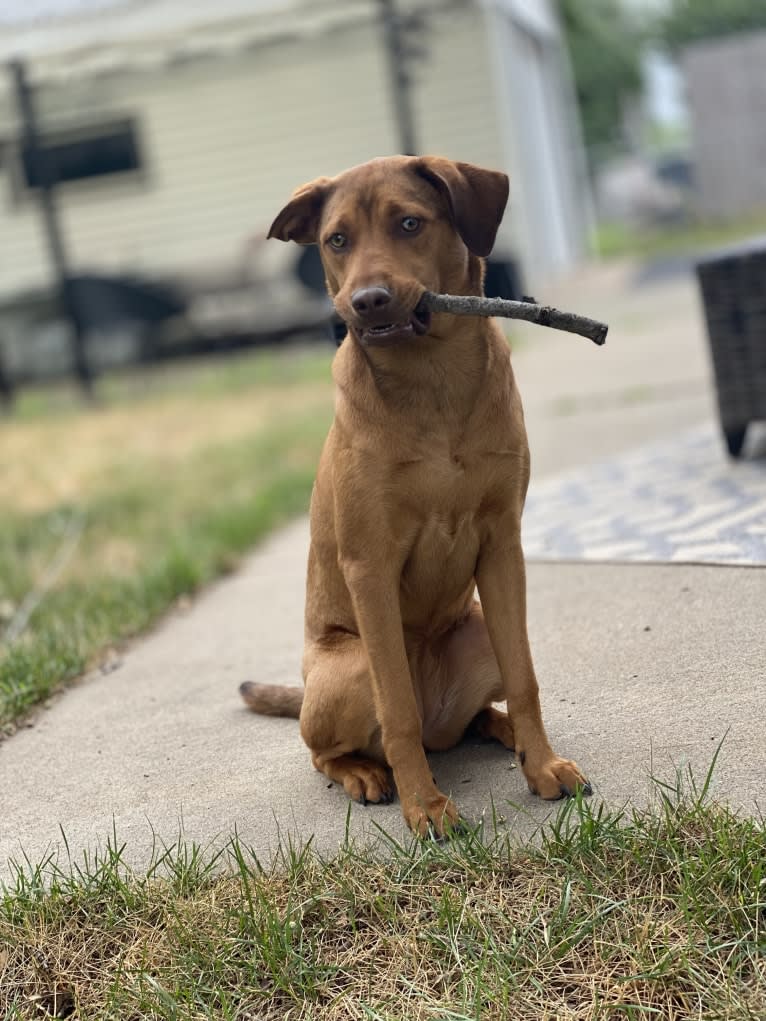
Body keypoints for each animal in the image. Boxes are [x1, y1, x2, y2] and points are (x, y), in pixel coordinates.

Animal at [243, 155, 592, 833]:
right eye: (337, 240)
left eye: (409, 223)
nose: (367, 301)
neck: (432, 379)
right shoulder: (369, 565)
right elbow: (396, 707)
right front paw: (425, 806)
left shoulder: (502, 543)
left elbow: (526, 678)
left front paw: (541, 765)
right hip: (348, 666)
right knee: (331, 748)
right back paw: (364, 772)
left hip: (477, 626)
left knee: (475, 712)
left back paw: (501, 731)